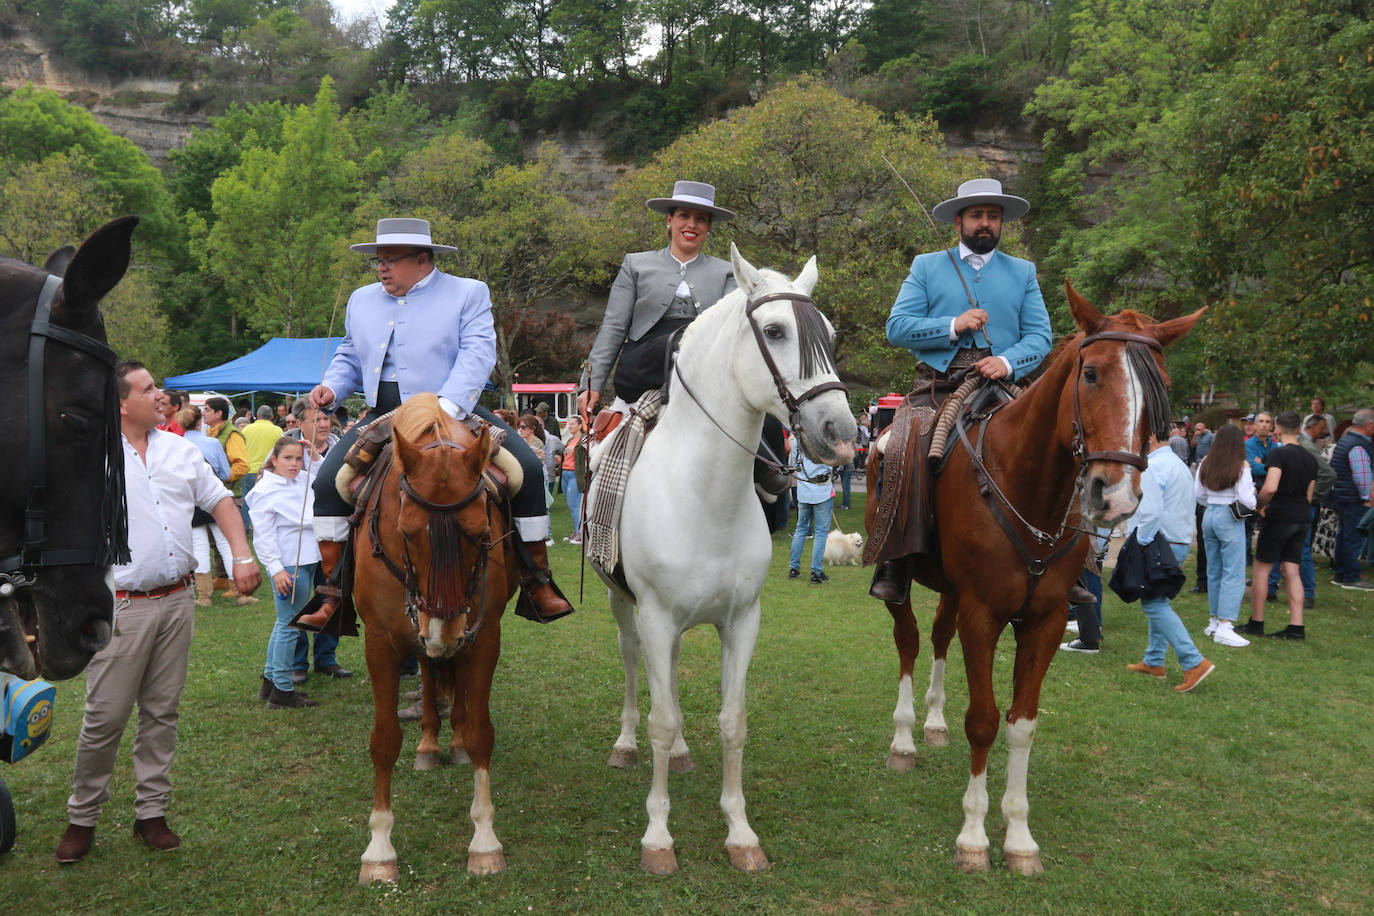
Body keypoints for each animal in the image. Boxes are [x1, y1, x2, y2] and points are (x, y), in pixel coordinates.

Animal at [348, 398, 519, 884]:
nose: (446, 629)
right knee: (428, 669)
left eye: (481, 533)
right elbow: (384, 740)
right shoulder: (380, 644)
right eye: (406, 532)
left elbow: (481, 732)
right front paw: (379, 850)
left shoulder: (484, 637)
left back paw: (451, 740)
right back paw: (428, 743)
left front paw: (484, 842)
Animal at [585, 243, 851, 873]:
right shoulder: (655, 616)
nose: (841, 431)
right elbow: (660, 720)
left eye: (829, 335)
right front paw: (658, 838)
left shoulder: (741, 621)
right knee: (633, 665)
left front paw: (740, 832)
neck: (706, 494)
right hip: (622, 605)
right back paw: (625, 744)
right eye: (775, 331)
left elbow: (732, 723)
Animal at [868, 284, 1203, 873]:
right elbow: (983, 720)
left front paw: (1019, 837)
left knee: (937, 638)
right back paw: (905, 739)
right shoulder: (984, 615)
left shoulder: (1042, 621)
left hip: (953, 592)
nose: (1114, 496)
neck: (1026, 484)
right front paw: (973, 838)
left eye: (1160, 386)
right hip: (904, 580)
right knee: (908, 642)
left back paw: (932, 723)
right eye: (1090, 373)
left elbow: (1022, 723)